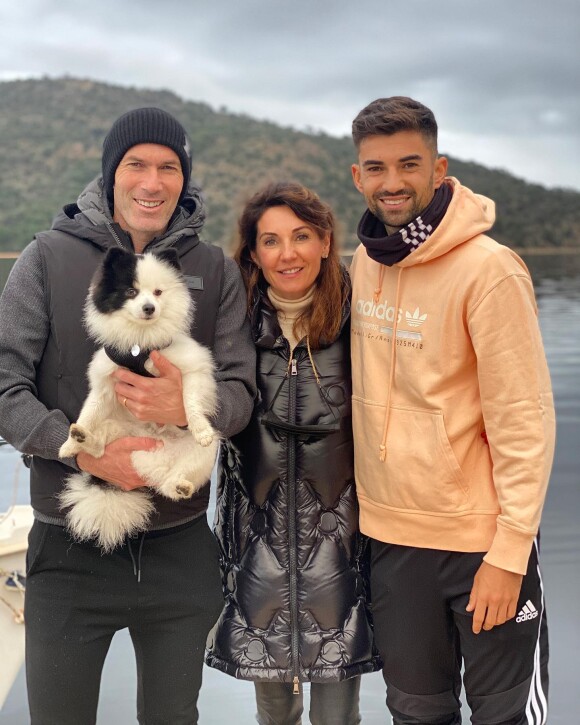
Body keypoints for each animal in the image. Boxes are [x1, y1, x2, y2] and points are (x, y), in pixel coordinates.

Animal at [59, 246, 218, 552]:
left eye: (157, 293)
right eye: (131, 292)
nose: (149, 308)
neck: (139, 345)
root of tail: (154, 461)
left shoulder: (192, 369)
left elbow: (190, 401)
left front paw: (200, 429)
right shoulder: (105, 382)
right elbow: (90, 410)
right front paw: (68, 444)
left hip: (202, 456)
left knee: (172, 482)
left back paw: (181, 485)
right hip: (116, 431)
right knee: (99, 448)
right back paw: (82, 439)